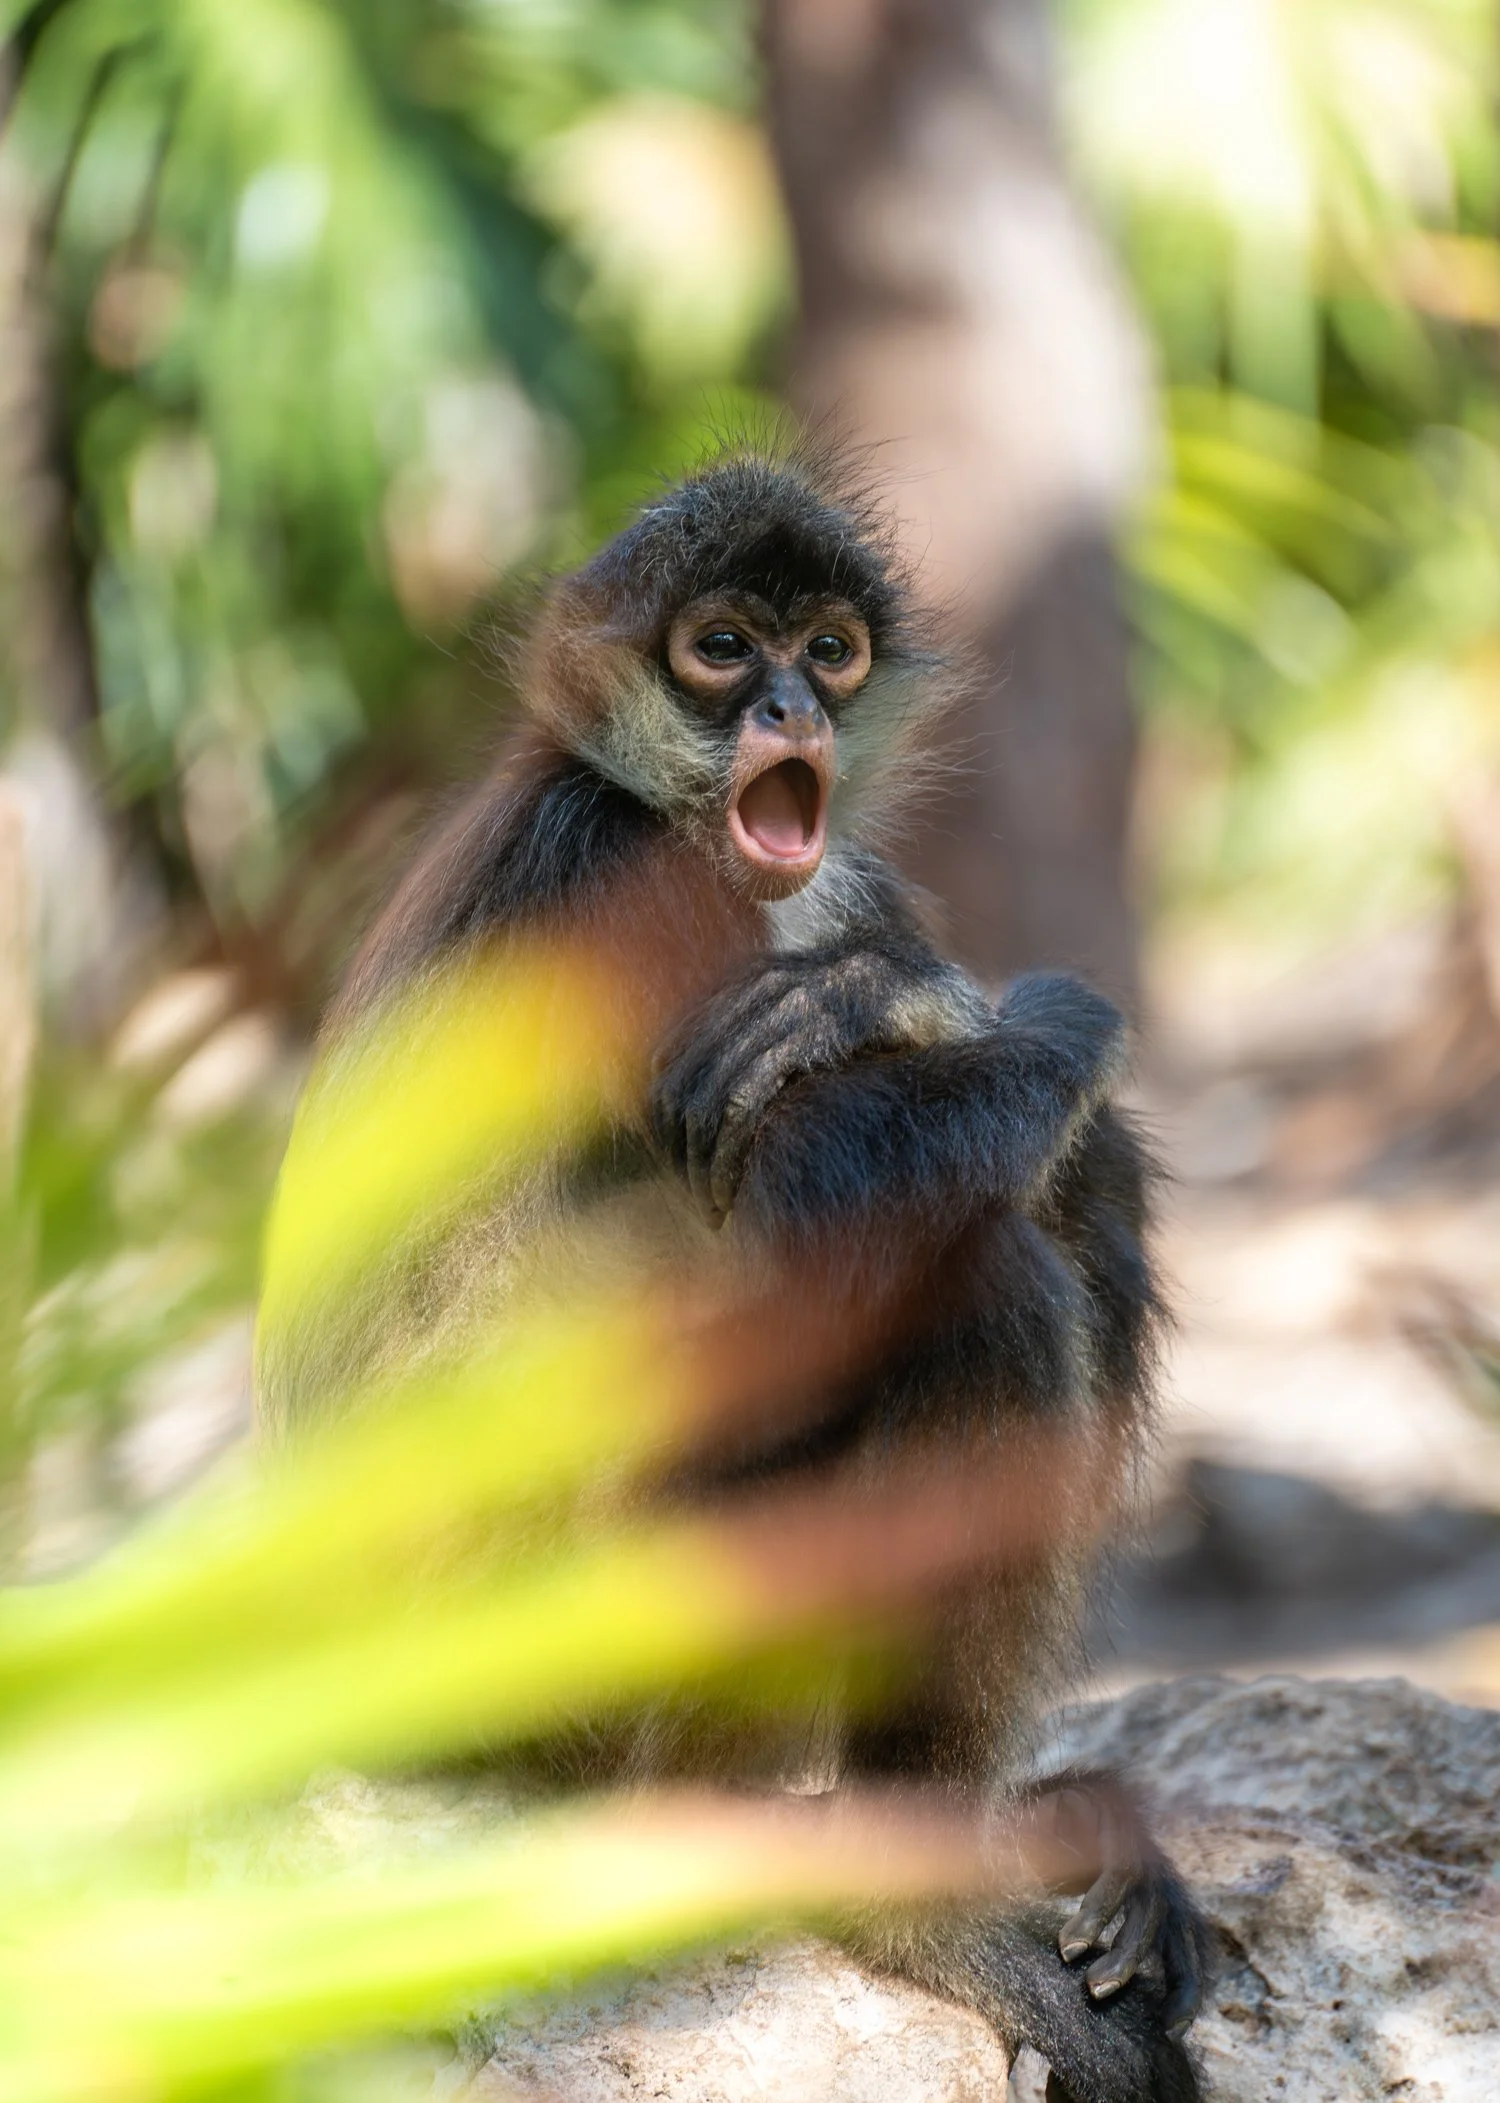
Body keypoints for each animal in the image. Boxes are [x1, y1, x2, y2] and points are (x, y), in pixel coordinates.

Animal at [256, 446, 1210, 2103]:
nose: (788, 713)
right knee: (978, 1266)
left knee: (1075, 1184)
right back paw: (891, 1893)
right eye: (720, 649)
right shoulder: (609, 869)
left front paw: (880, 991)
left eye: (829, 649)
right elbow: (814, 1192)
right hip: (574, 1642)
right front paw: (951, 999)